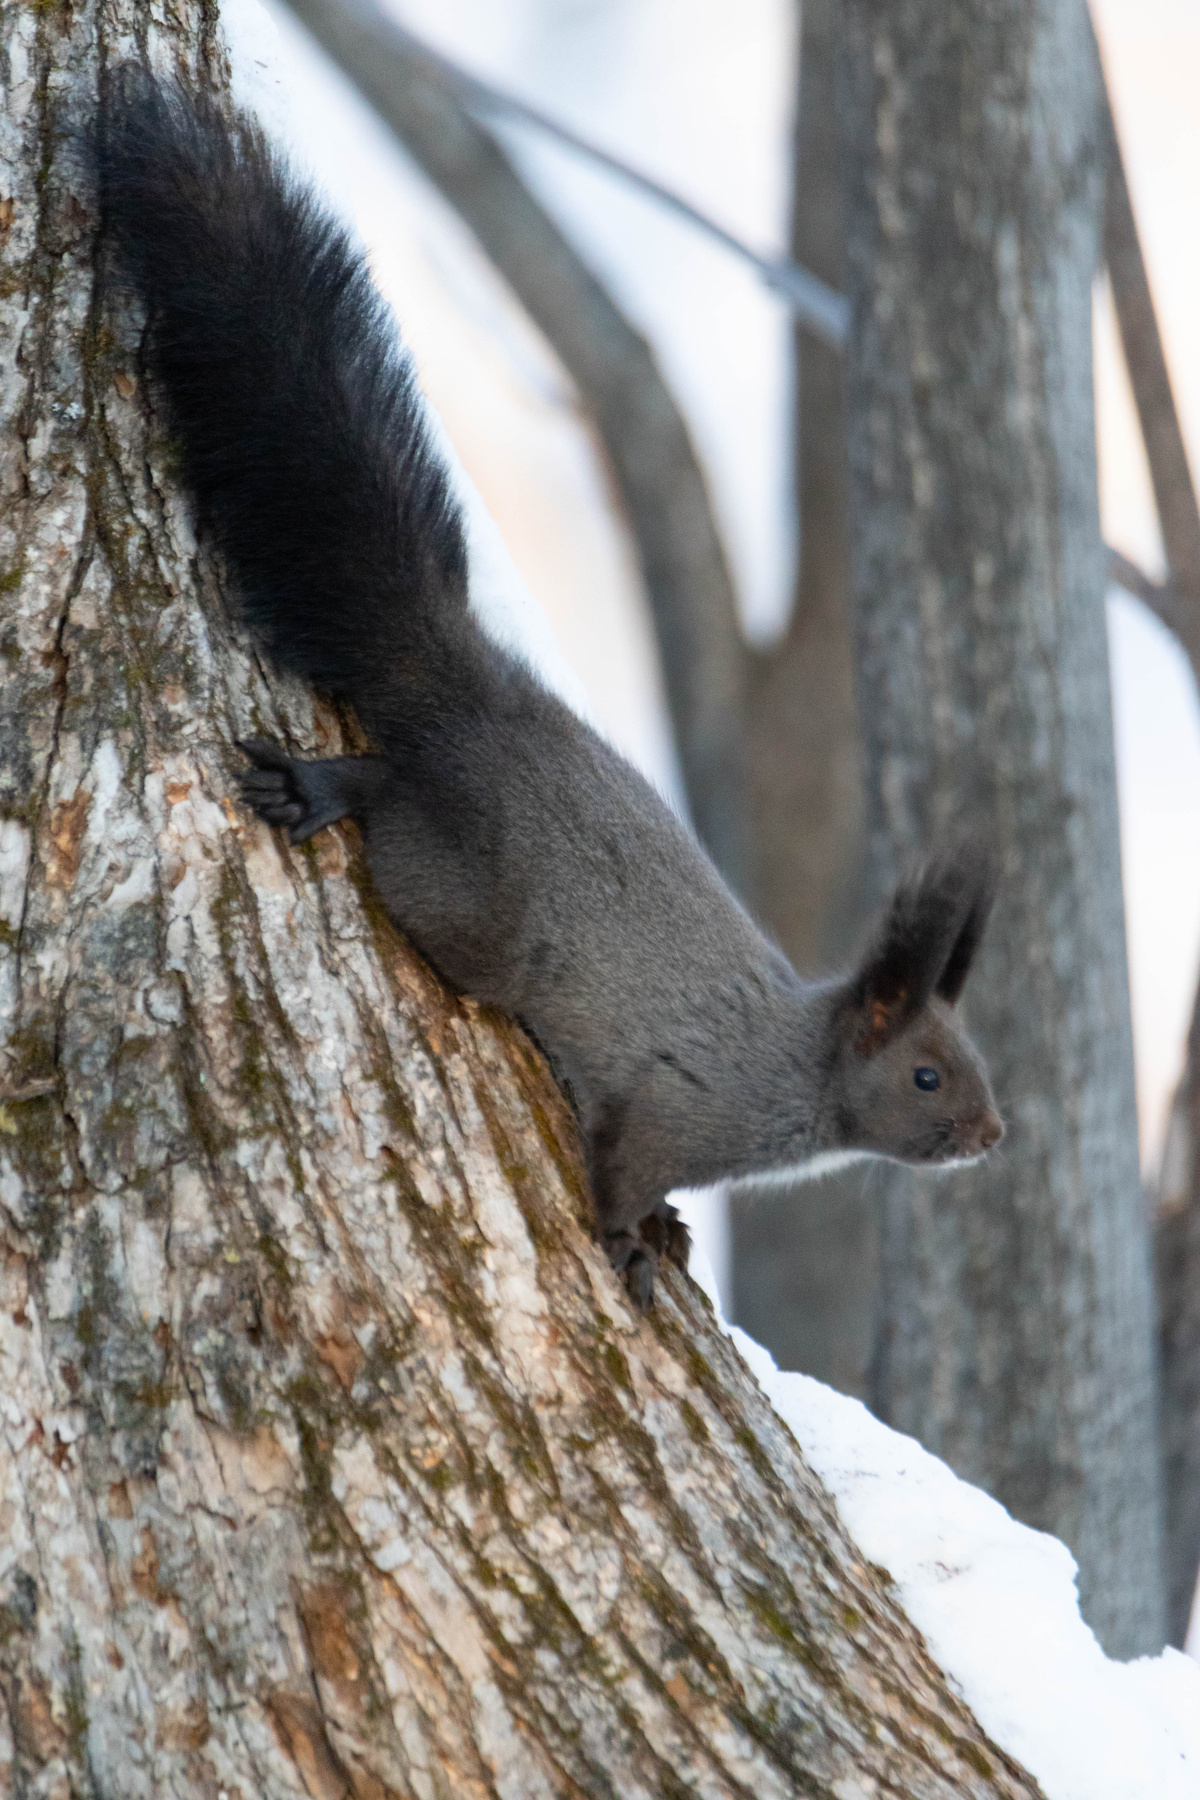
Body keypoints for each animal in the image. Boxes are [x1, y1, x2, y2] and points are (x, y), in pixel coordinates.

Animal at [95, 73, 1003, 1310]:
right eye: (924, 1077)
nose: (993, 1136)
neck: (792, 1073)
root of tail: (471, 695)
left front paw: (665, 1230)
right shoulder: (676, 1103)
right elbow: (623, 1165)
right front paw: (628, 1240)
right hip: (470, 899)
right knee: (395, 800)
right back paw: (324, 789)